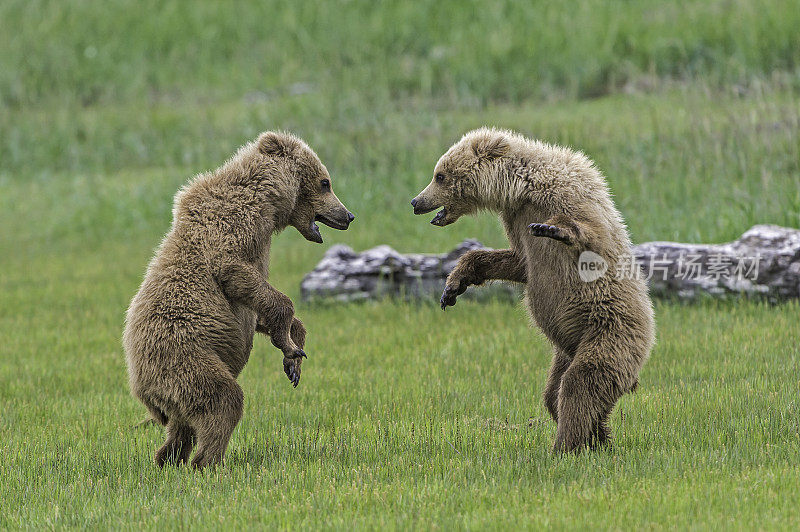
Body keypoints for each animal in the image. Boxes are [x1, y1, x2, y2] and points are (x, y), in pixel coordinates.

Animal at [122, 131, 354, 468]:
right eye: (326, 182)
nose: (348, 215)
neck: (267, 205)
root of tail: (139, 385)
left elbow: (259, 308)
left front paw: (294, 357)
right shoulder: (231, 228)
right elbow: (237, 274)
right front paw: (290, 346)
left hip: (176, 390)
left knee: (181, 427)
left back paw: (168, 460)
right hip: (185, 359)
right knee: (222, 400)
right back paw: (208, 463)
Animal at [412, 127, 656, 450]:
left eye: (439, 175)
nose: (415, 201)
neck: (521, 189)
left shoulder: (570, 195)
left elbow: (590, 233)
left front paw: (553, 229)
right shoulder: (515, 218)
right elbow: (519, 262)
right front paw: (452, 286)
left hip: (610, 332)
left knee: (581, 384)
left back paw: (565, 446)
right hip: (566, 350)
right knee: (555, 394)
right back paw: (598, 438)